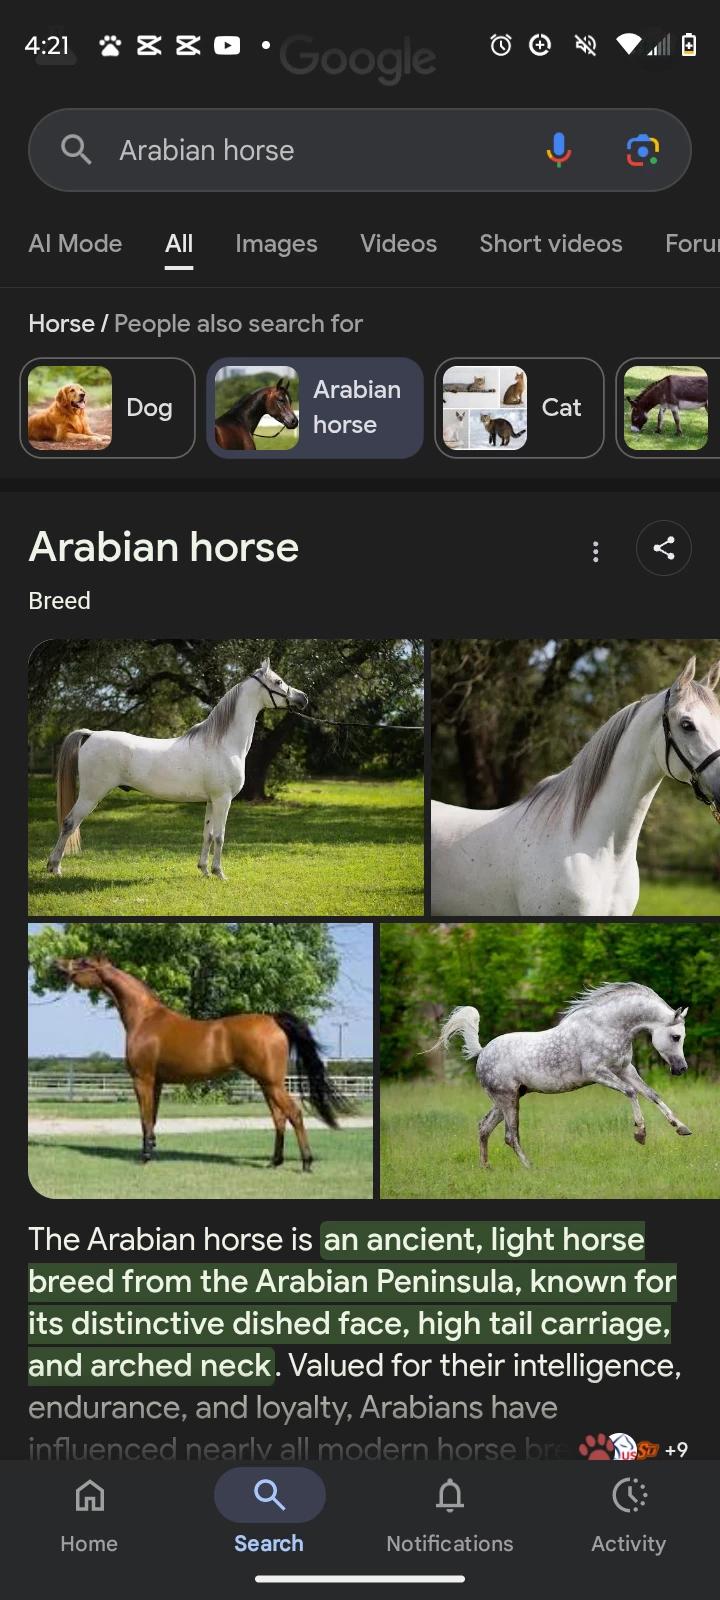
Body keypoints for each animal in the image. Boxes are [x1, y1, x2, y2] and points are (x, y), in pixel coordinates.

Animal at [46, 659, 308, 880]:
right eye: (278, 682)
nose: (303, 698)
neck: (223, 743)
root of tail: (90, 734)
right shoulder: (223, 799)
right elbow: (220, 836)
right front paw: (219, 873)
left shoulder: (211, 800)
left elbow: (207, 834)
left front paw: (204, 870)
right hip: (91, 795)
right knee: (69, 823)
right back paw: (55, 867)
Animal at [55, 956, 350, 1166]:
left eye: (83, 962)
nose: (57, 964)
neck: (145, 1018)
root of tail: (273, 1020)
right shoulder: (157, 1082)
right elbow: (153, 1119)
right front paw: (152, 1149)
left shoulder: (143, 1079)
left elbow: (144, 1118)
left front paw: (145, 1157)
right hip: (267, 1084)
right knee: (279, 1118)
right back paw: (274, 1162)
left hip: (272, 1083)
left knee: (294, 1114)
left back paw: (306, 1162)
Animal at [434, 983, 693, 1169]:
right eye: (676, 1037)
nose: (682, 1069)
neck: (606, 1027)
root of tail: (482, 1051)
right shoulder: (598, 1072)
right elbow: (631, 1093)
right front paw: (640, 1134)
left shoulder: (625, 1070)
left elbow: (652, 1095)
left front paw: (681, 1128)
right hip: (508, 1100)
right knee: (510, 1136)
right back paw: (530, 1167)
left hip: (509, 1098)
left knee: (484, 1127)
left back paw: (486, 1166)